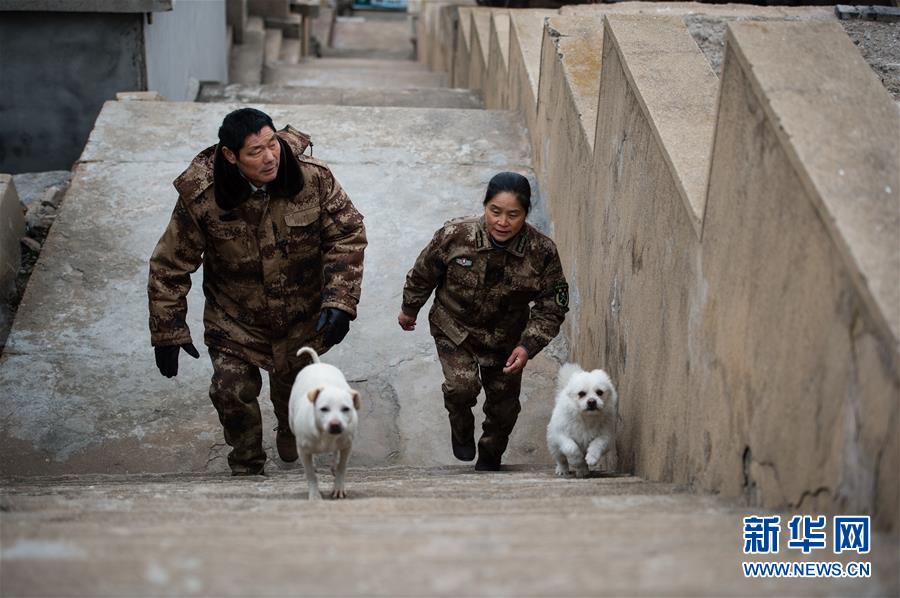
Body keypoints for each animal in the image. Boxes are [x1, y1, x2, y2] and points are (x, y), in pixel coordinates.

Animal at [288, 346, 358, 502]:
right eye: (323, 409)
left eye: (346, 409)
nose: (335, 425)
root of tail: (318, 365)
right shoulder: (302, 450)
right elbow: (310, 475)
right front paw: (315, 496)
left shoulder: (348, 445)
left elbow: (342, 466)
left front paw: (338, 487)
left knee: (335, 453)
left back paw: (333, 465)